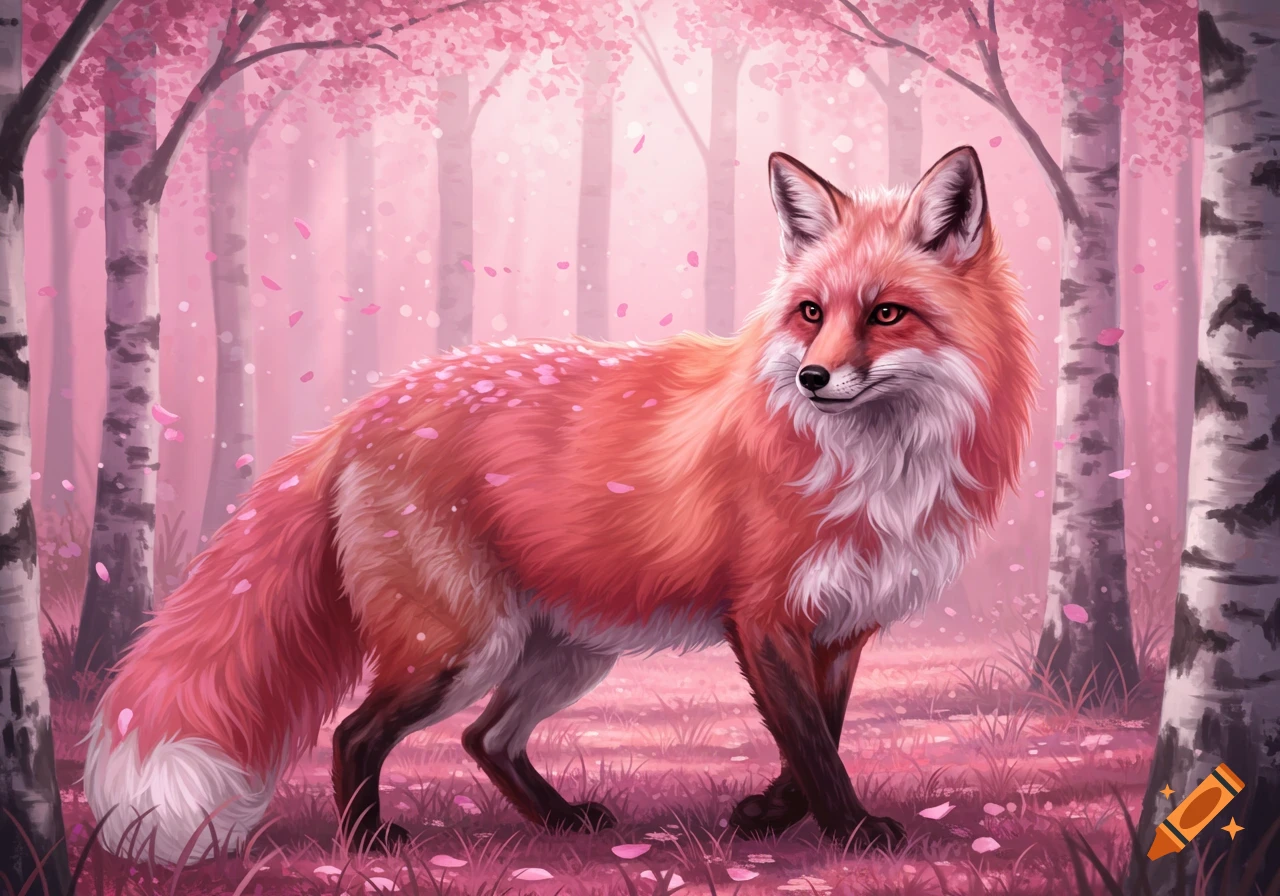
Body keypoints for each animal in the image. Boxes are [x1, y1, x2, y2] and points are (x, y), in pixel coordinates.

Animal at [84, 146, 1035, 865]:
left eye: (886, 314)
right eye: (810, 312)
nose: (811, 378)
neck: (876, 469)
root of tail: (366, 408)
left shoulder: (840, 625)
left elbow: (821, 739)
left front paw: (767, 815)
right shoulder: (764, 616)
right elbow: (812, 744)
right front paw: (853, 832)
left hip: (563, 653)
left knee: (485, 740)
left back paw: (558, 820)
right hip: (462, 646)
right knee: (354, 734)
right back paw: (368, 844)